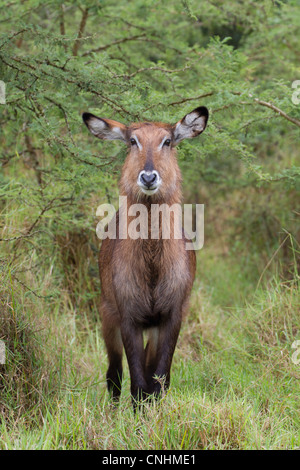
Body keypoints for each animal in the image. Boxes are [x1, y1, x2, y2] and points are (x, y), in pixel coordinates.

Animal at [82, 104, 209, 406]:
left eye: (168, 141)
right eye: (132, 141)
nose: (149, 177)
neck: (152, 267)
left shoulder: (173, 315)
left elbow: (159, 380)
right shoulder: (129, 317)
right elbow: (137, 384)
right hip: (108, 315)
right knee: (114, 374)